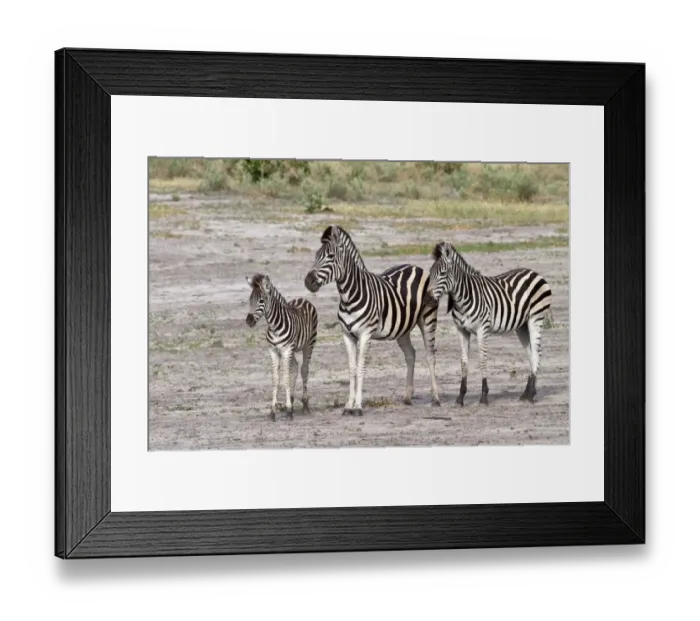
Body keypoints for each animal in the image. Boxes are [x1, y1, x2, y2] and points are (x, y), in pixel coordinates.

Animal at [245, 273, 318, 422]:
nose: (249, 321)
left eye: (261, 300)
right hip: (293, 350)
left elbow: (286, 378)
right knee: (295, 367)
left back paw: (305, 405)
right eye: (250, 300)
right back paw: (291, 400)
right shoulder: (273, 351)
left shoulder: (286, 350)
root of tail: (302, 299)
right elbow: (276, 379)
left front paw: (289, 410)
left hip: (309, 344)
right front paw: (273, 411)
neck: (274, 326)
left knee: (304, 369)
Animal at [303, 225, 441, 417]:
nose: (308, 281)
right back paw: (407, 396)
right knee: (410, 354)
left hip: (428, 319)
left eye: (330, 256)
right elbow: (352, 369)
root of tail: (415, 267)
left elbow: (361, 368)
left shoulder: (365, 334)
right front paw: (348, 405)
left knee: (430, 356)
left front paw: (358, 406)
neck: (349, 296)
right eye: (316, 255)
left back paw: (436, 398)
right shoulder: (347, 335)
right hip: (402, 328)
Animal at [427, 241, 552, 406]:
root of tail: (534, 272)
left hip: (535, 318)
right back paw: (527, 393)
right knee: (531, 354)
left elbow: (482, 360)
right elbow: (464, 362)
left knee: (537, 353)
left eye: (442, 273)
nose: (428, 298)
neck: (464, 297)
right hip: (522, 326)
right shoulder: (461, 330)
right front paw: (460, 397)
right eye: (430, 272)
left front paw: (484, 396)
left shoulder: (482, 329)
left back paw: (531, 394)